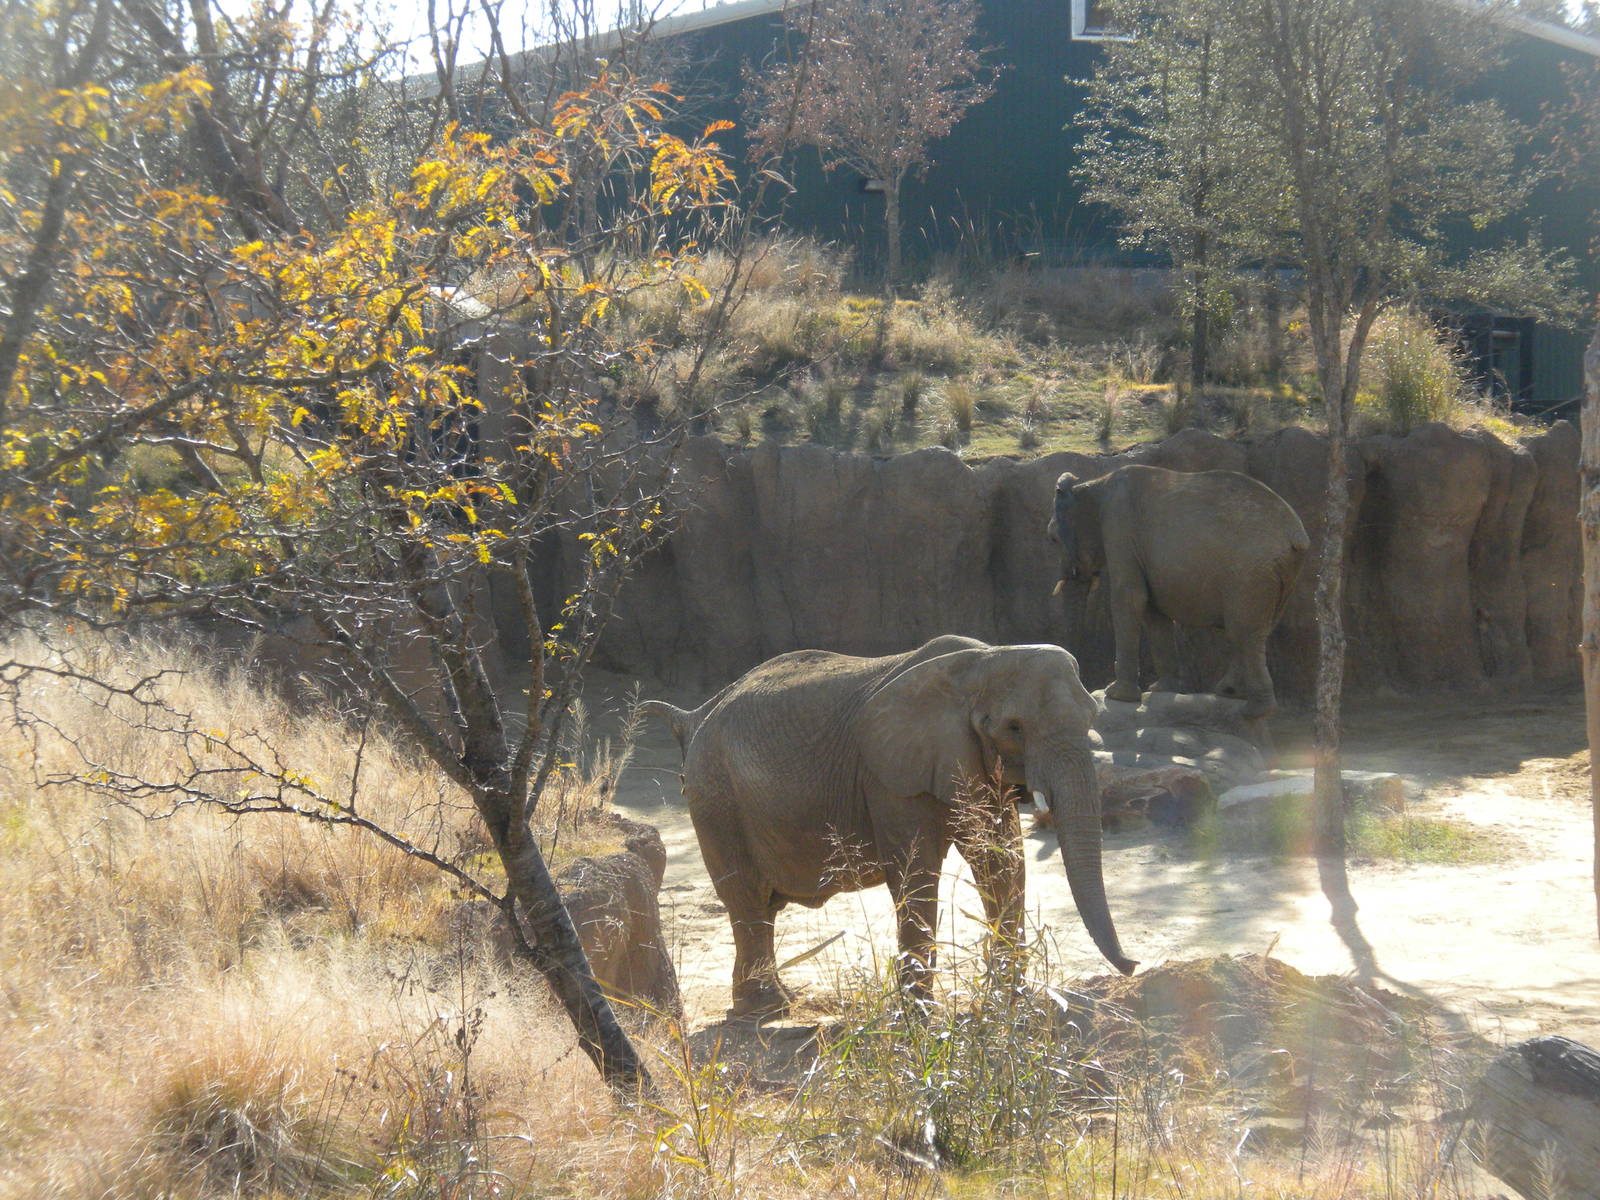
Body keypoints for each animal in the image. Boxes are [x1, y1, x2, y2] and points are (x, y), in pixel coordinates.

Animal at [641, 635, 1136, 1017]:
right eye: (1015, 727)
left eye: (1092, 719)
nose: (1133, 966)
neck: (981, 662)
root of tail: (697, 715)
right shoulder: (890, 776)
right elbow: (917, 874)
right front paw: (920, 1018)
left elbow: (1001, 862)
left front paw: (1006, 1005)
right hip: (715, 797)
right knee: (746, 898)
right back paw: (765, 1009)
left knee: (761, 907)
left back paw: (776, 1001)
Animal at [1048, 464, 1309, 719]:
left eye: (1052, 539)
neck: (1092, 484)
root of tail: (1295, 534)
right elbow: (1151, 609)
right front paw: (1160, 689)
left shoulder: (1118, 525)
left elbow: (1130, 598)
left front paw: (1117, 695)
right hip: (1280, 572)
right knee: (1256, 631)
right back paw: (1229, 692)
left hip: (1251, 572)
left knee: (1243, 631)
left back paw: (1256, 711)